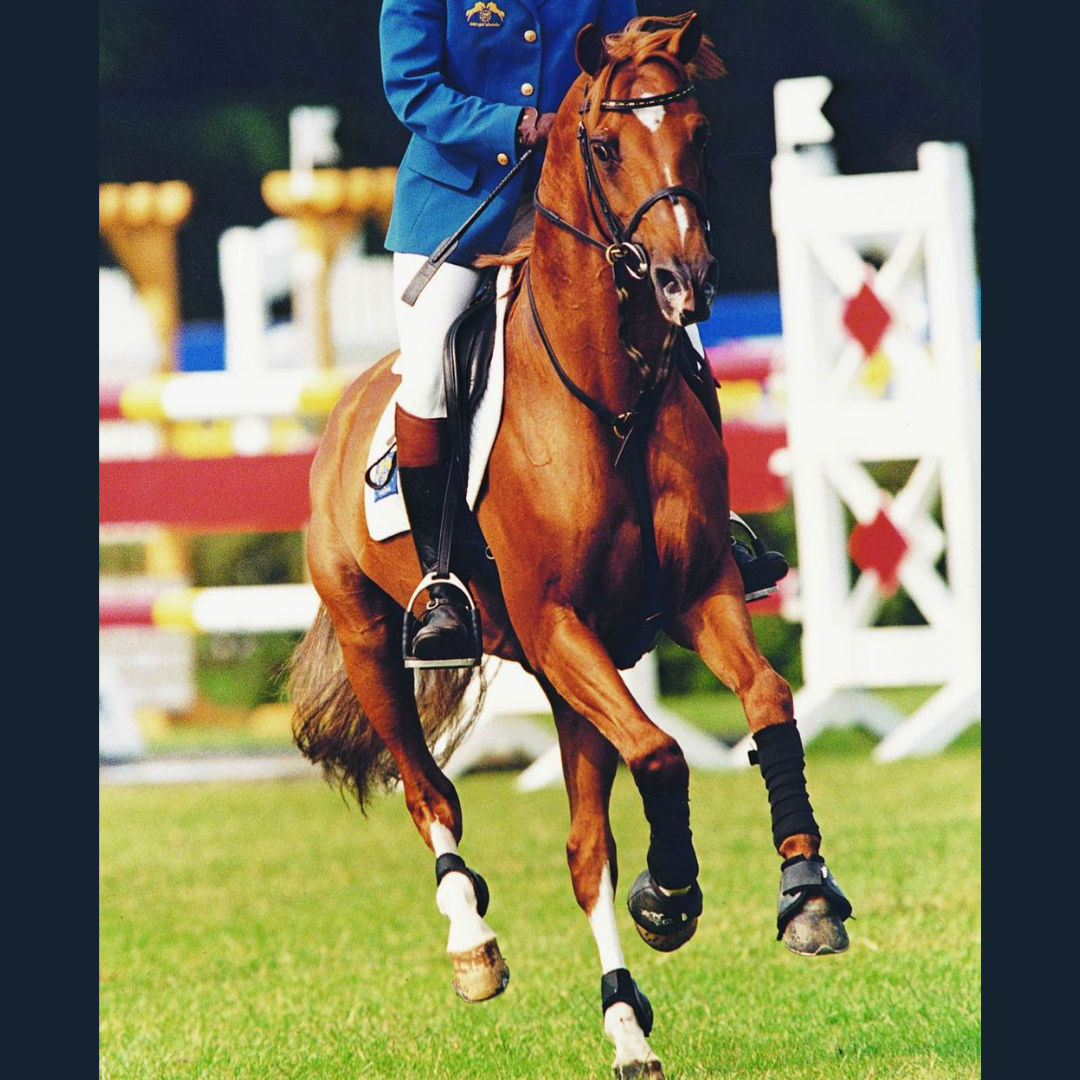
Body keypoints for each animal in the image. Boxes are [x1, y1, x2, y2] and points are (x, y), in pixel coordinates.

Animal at [290, 13, 852, 1079]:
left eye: (699, 133)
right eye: (603, 147)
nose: (686, 283)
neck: (611, 392)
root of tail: (347, 407)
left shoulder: (695, 597)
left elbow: (764, 701)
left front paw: (804, 895)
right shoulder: (558, 624)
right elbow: (665, 755)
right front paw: (672, 896)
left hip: (561, 682)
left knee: (585, 847)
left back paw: (626, 1025)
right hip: (379, 646)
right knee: (431, 794)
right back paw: (474, 946)